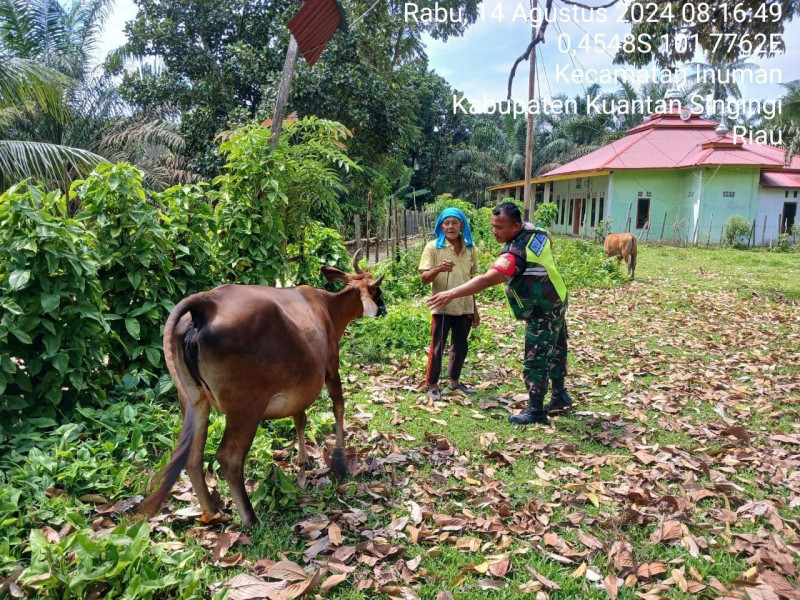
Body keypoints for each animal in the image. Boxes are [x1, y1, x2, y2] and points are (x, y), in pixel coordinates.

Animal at [142, 253, 386, 528]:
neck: (328, 307)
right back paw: (250, 518)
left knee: (193, 456)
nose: (383, 306)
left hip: (193, 401)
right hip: (246, 407)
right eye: (376, 289)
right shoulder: (331, 366)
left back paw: (212, 512)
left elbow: (300, 418)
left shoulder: (300, 386)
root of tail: (205, 304)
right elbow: (338, 406)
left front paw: (303, 459)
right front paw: (340, 460)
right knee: (228, 457)